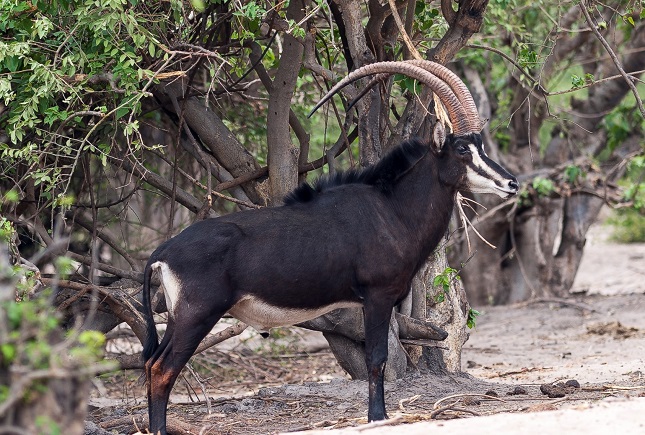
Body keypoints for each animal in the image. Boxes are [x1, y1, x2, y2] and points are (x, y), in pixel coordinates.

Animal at [141, 59, 520, 434]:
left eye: (481, 145)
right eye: (462, 149)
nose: (511, 183)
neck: (392, 209)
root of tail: (162, 253)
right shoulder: (378, 296)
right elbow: (377, 357)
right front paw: (377, 417)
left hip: (178, 317)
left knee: (152, 363)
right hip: (197, 314)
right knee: (163, 369)